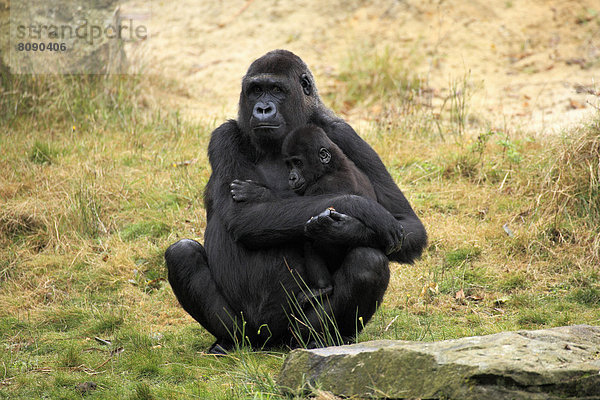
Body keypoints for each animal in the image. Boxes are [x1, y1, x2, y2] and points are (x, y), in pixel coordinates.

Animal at [164, 50, 426, 354]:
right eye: (256, 90)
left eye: (277, 90)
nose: (262, 109)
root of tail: (270, 342)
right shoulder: (223, 136)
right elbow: (243, 215)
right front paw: (360, 208)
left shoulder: (345, 133)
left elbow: (407, 226)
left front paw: (346, 227)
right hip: (248, 331)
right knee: (182, 253)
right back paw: (229, 341)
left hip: (294, 333)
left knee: (367, 261)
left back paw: (325, 338)